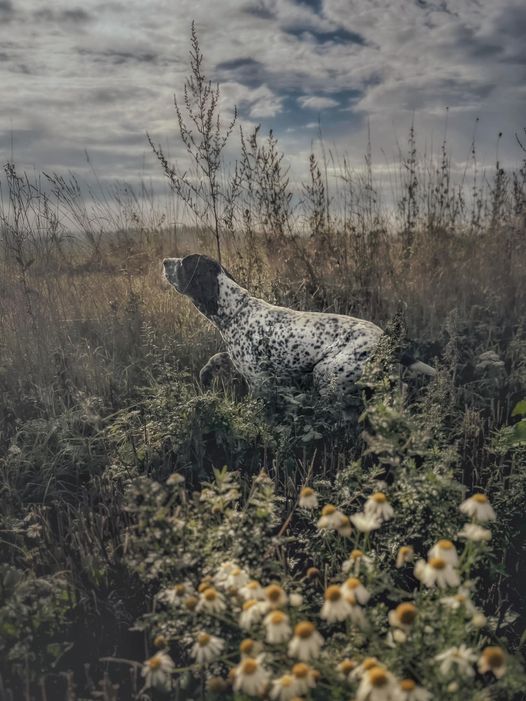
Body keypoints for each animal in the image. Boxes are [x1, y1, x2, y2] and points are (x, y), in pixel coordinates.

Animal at [163, 256, 436, 400]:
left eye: (184, 264)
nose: (166, 261)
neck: (236, 311)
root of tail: (388, 342)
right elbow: (218, 357)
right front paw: (206, 374)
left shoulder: (259, 382)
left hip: (327, 372)